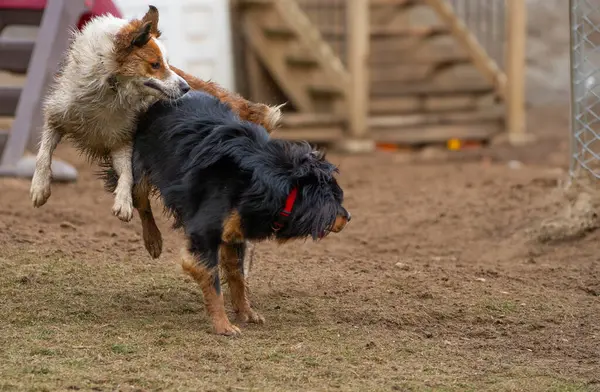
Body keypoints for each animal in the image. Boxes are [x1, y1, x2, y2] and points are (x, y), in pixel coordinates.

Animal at [29, 6, 280, 220]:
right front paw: (40, 187)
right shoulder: (59, 115)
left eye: (167, 63)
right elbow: (43, 154)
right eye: (155, 64)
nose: (186, 87)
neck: (111, 88)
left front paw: (123, 202)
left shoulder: (122, 139)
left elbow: (127, 174)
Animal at [101, 91, 350, 334]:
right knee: (141, 201)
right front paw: (223, 326)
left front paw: (246, 312)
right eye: (337, 199)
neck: (279, 185)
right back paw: (153, 240)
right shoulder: (204, 235)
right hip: (140, 164)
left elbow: (237, 276)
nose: (348, 217)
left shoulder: (235, 231)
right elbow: (213, 283)